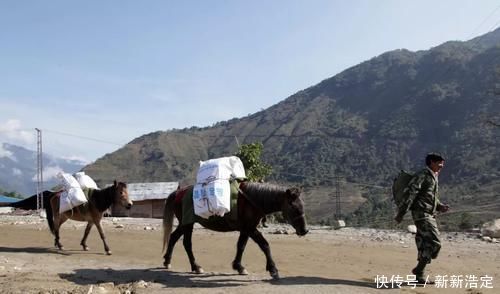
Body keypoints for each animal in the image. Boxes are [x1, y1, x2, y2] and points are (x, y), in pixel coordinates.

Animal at [162, 181, 308, 280]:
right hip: (188, 224)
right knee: (186, 243)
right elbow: (264, 245)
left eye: (302, 205)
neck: (252, 200)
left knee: (174, 237)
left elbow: (241, 246)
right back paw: (196, 266)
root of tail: (178, 192)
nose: (304, 230)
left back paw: (167, 261)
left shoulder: (246, 229)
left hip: (184, 223)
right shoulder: (250, 228)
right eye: (294, 207)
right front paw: (273, 270)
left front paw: (239, 266)